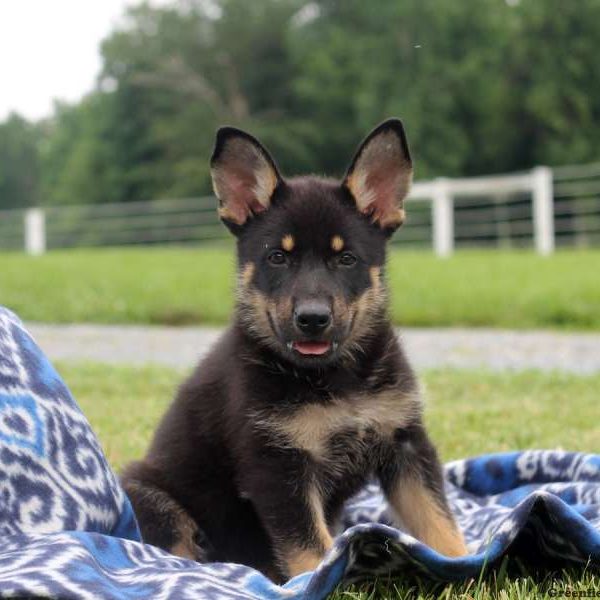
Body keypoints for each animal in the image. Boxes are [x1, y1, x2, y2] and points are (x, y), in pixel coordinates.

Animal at [123, 119, 468, 584]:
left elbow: (438, 521)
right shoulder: (277, 466)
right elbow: (312, 550)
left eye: (346, 259)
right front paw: (321, 581)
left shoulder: (406, 444)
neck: (335, 378)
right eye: (277, 257)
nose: (312, 318)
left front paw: (468, 566)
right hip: (145, 489)